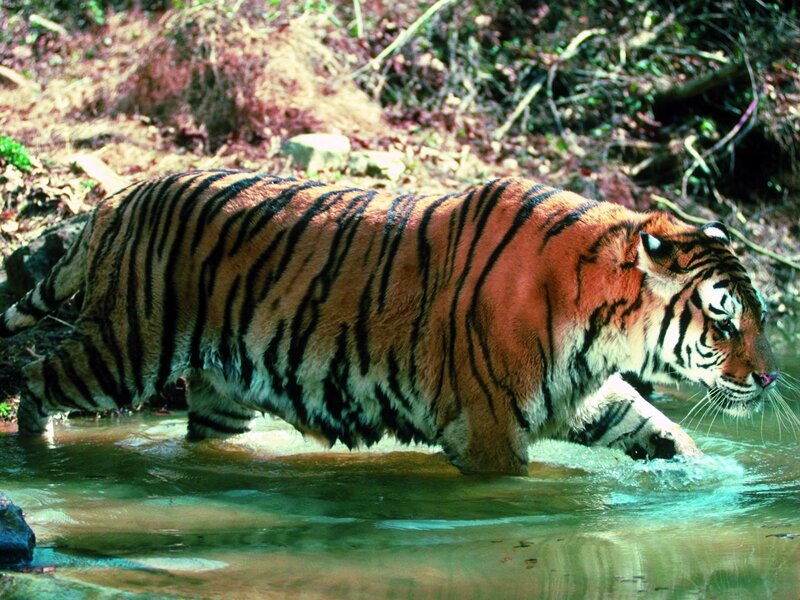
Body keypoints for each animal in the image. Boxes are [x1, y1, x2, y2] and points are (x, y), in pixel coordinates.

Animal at [0, 170, 779, 474]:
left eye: (761, 316)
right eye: (723, 320)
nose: (771, 378)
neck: (600, 331)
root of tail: (120, 197)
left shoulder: (587, 395)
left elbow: (662, 430)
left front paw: (713, 478)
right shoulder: (490, 431)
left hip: (222, 390)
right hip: (126, 349)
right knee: (35, 376)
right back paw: (37, 451)